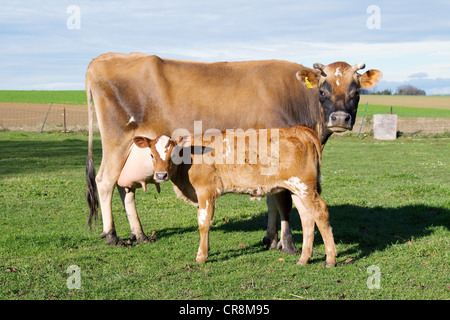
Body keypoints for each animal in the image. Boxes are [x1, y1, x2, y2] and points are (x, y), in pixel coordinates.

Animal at [86, 52, 382, 249]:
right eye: (322, 90)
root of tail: (103, 58)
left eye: (356, 91)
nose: (340, 118)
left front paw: (269, 239)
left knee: (125, 188)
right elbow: (283, 201)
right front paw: (286, 244)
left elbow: (272, 198)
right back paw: (112, 235)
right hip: (116, 140)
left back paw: (138, 234)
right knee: (105, 181)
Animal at [132, 125, 336, 268]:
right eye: (151, 155)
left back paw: (330, 259)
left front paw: (201, 256)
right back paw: (304, 258)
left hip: (305, 186)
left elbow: (203, 223)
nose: (160, 175)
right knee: (307, 217)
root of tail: (301, 130)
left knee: (320, 212)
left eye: (173, 154)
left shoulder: (206, 191)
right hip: (297, 189)